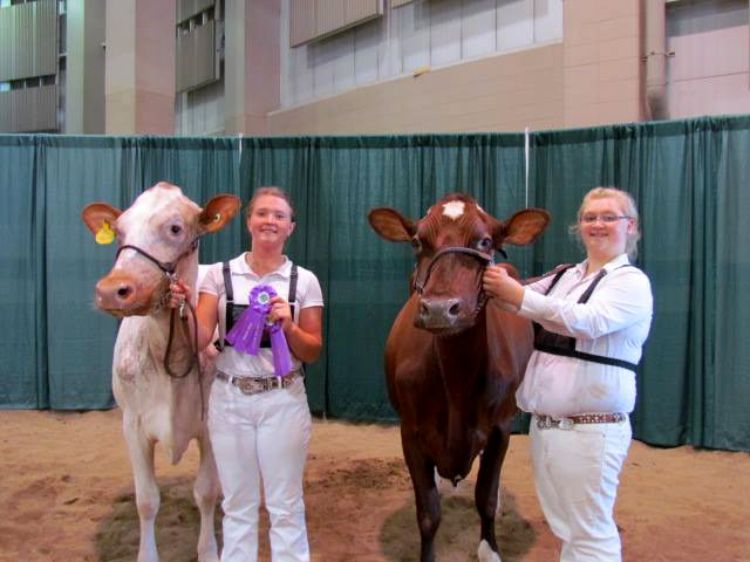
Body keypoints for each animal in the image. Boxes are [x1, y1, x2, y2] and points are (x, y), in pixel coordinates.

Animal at [82, 182, 241, 556]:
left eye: (175, 228)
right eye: (119, 230)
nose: (112, 290)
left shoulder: (211, 425)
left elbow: (205, 492)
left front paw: (209, 552)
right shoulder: (133, 425)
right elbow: (147, 500)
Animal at [368, 190, 548, 556]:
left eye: (485, 241)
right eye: (417, 241)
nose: (439, 309)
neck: (456, 383)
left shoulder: (501, 427)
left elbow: (486, 497)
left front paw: (489, 549)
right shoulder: (410, 430)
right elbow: (428, 513)